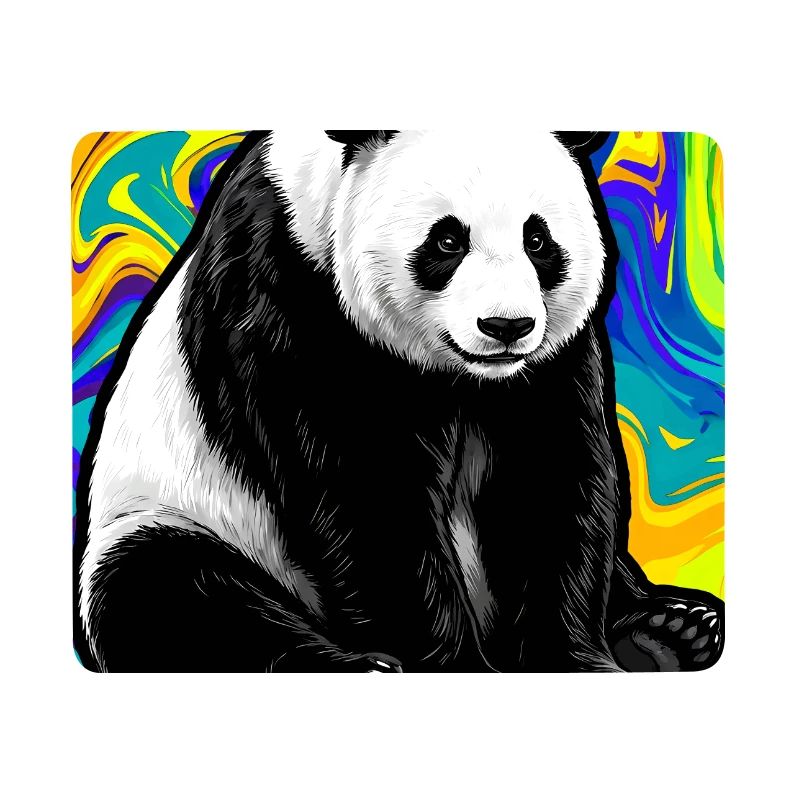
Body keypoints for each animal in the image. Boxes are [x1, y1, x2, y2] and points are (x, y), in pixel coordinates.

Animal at [74, 130, 724, 672]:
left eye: (538, 239)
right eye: (447, 239)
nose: (506, 326)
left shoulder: (547, 364)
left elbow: (548, 480)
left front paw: (570, 659)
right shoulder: (288, 290)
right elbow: (367, 488)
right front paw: (452, 666)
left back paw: (674, 630)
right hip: (174, 514)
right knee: (173, 595)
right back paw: (356, 667)